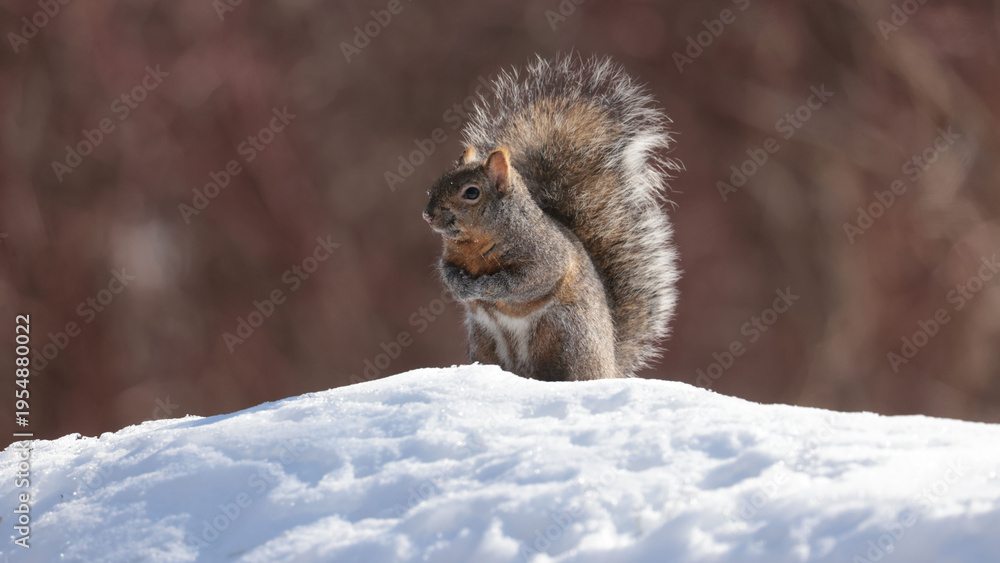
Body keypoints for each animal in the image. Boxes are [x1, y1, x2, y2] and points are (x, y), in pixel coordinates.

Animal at [422, 55, 680, 381]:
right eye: (440, 181)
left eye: (471, 192)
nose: (428, 215)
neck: (476, 241)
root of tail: (610, 365)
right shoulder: (451, 257)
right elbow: (446, 271)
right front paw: (458, 284)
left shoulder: (545, 254)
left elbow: (527, 280)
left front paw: (485, 287)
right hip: (483, 340)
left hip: (569, 334)